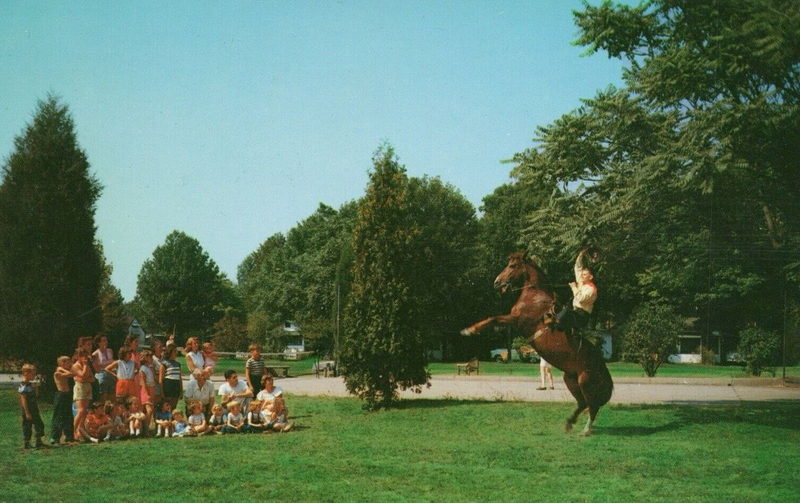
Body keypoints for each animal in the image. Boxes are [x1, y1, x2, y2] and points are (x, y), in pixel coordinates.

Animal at [460, 252, 616, 438]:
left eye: (512, 266)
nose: (497, 282)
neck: (534, 297)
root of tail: (602, 367)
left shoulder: (516, 319)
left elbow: (493, 318)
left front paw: (469, 330)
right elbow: (495, 321)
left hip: (585, 382)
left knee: (592, 407)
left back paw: (585, 430)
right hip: (570, 379)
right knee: (582, 404)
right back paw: (569, 423)